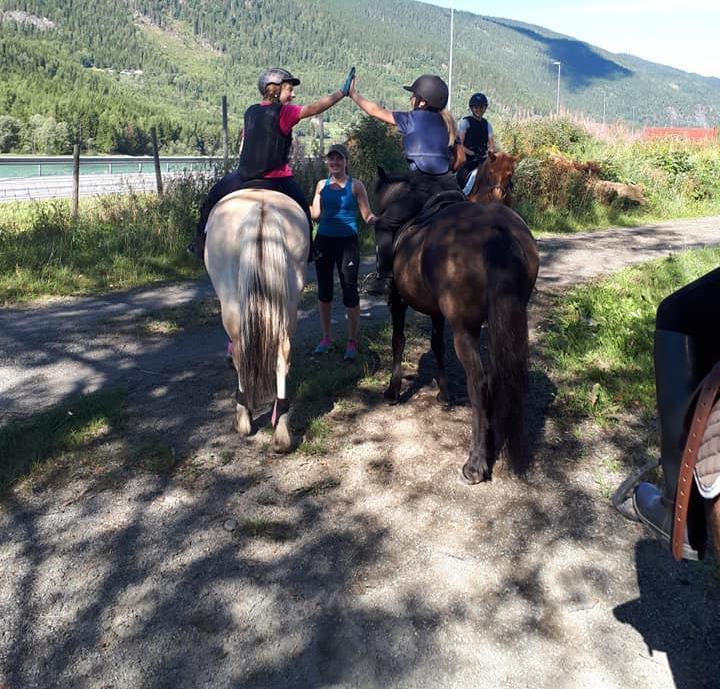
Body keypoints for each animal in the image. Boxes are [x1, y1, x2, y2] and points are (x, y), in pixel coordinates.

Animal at [380, 167, 536, 482]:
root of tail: (496, 231)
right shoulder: (437, 312)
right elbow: (437, 345)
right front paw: (444, 392)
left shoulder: (398, 302)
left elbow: (398, 341)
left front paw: (393, 389)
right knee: (500, 377)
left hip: (465, 330)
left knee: (479, 382)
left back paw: (476, 462)